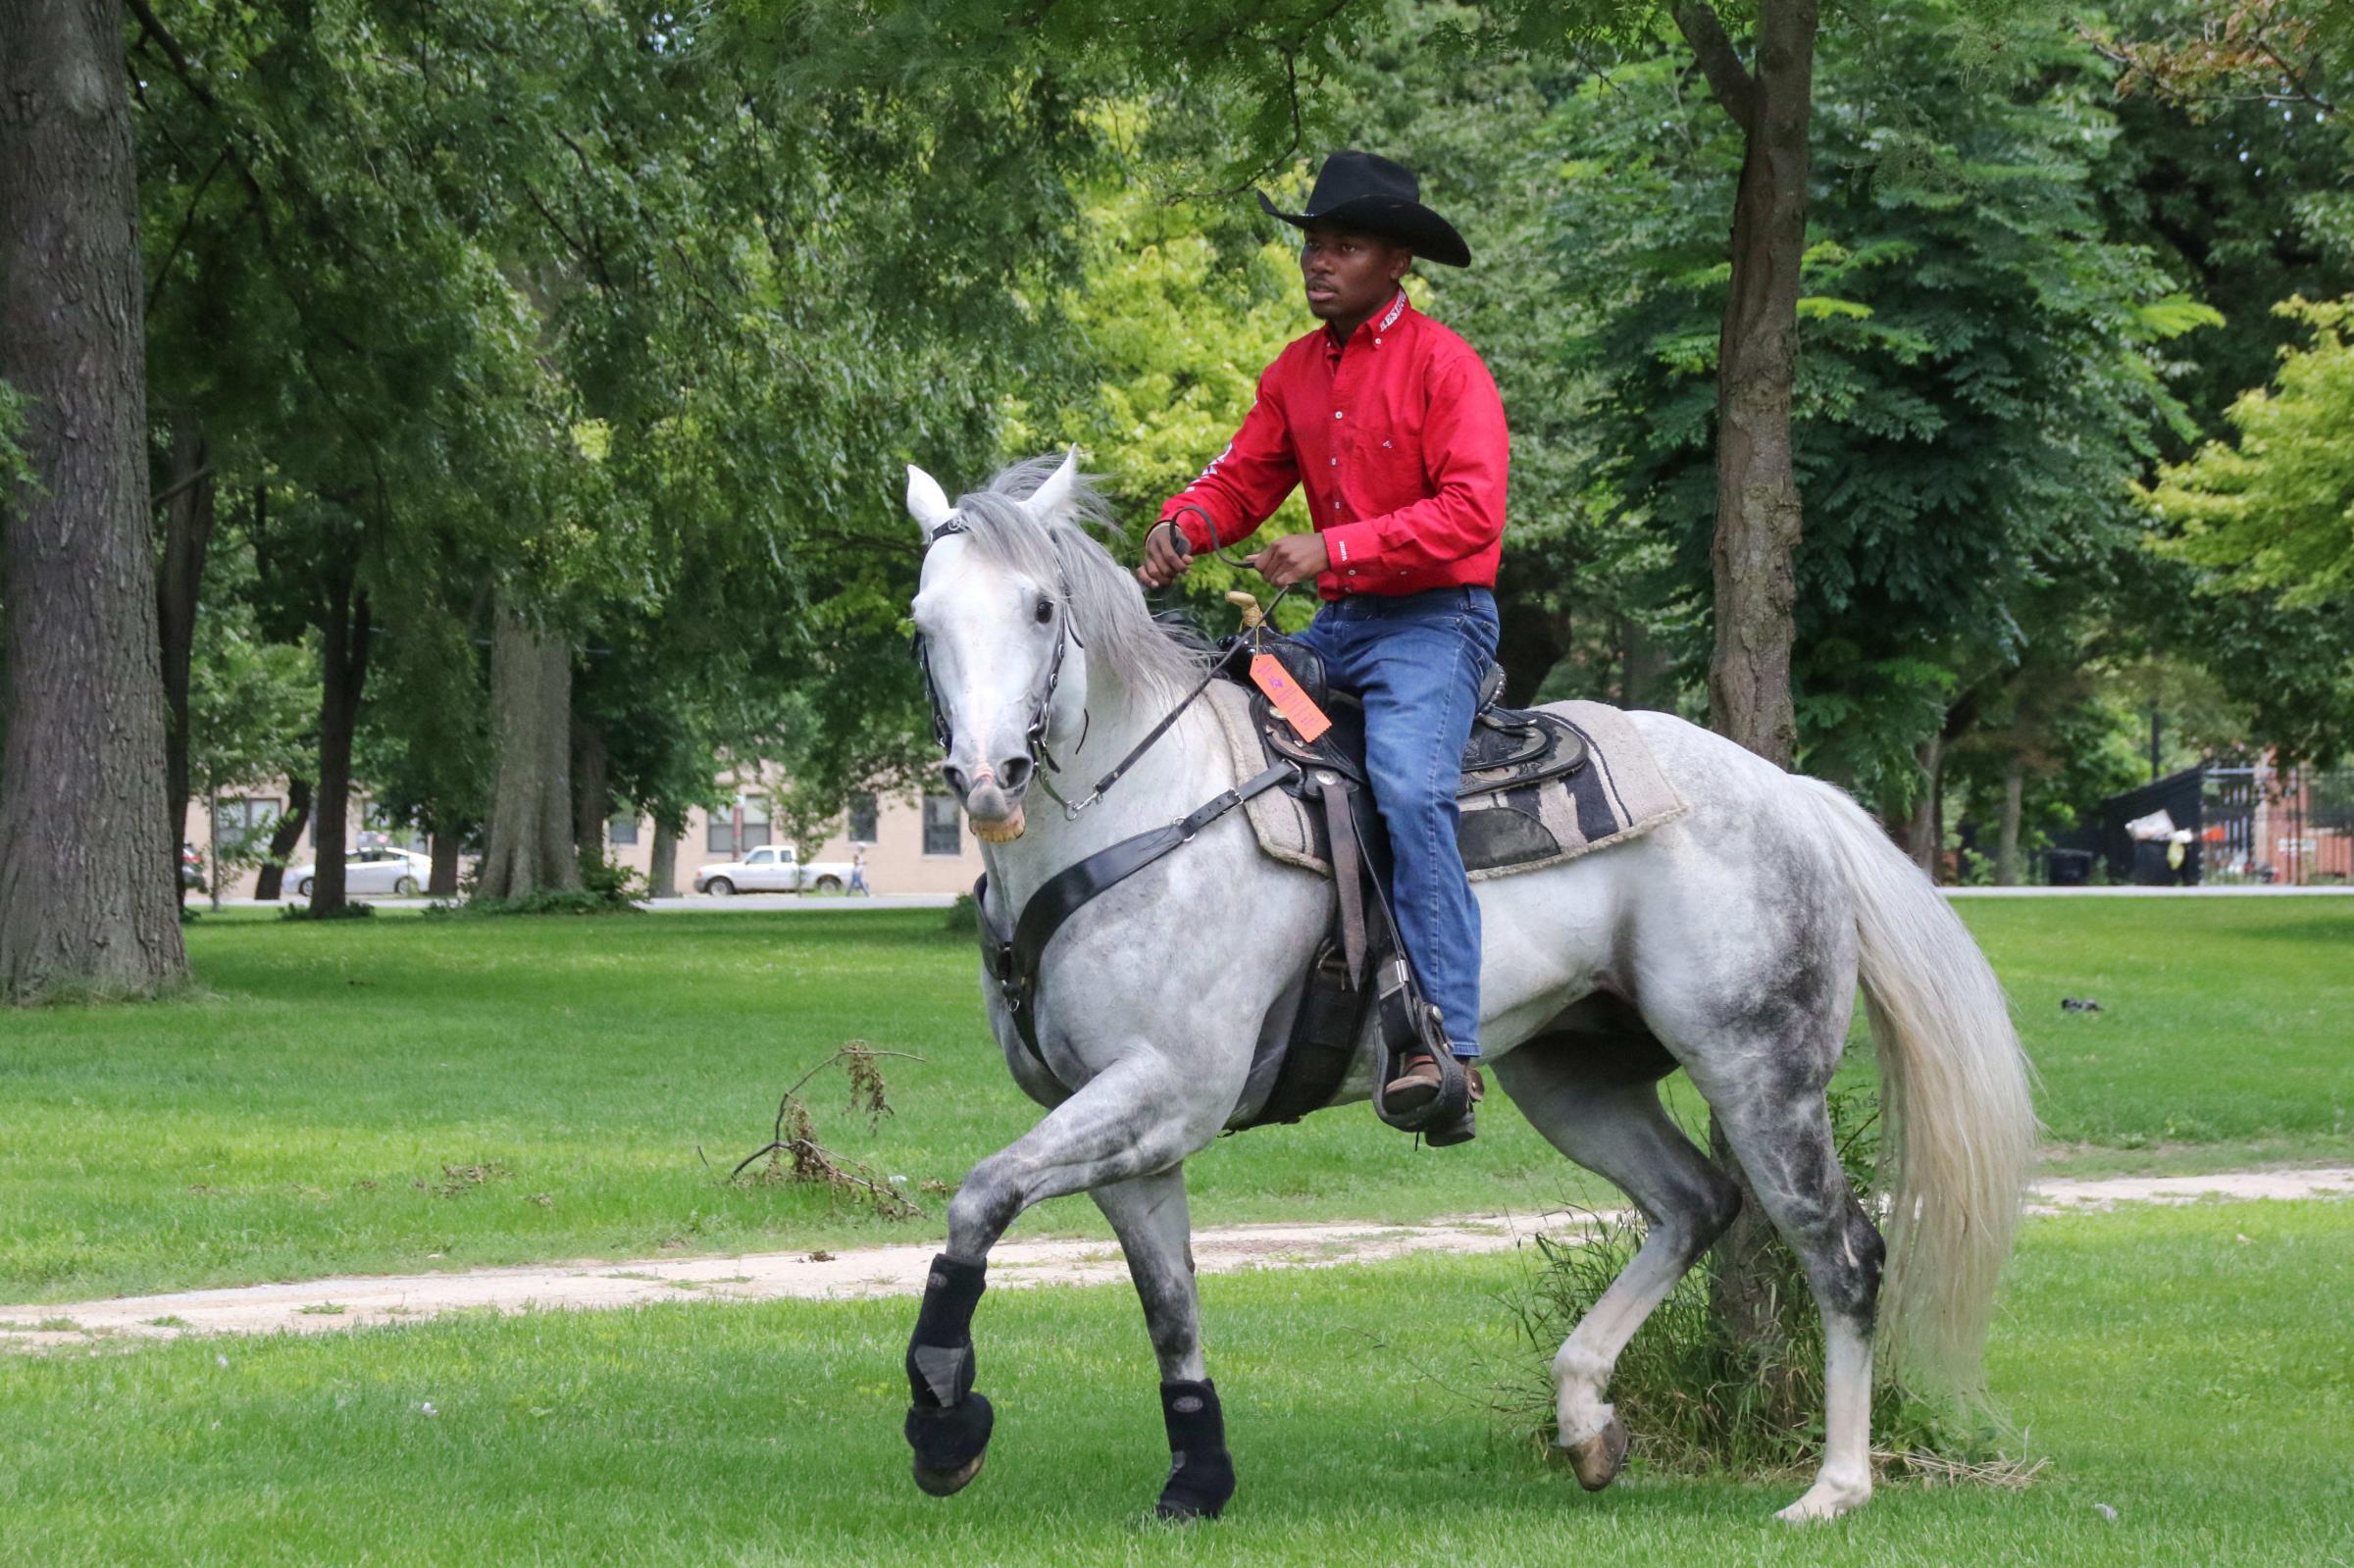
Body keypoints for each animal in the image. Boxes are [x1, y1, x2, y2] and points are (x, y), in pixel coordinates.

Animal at [890, 449, 2033, 1516]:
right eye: (922, 621)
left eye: (1042, 608)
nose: (987, 781)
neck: (1150, 807)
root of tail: (1789, 792)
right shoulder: (1130, 1126)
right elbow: (1169, 1306)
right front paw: (1197, 1476)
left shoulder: (1169, 1090)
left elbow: (979, 1196)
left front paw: (943, 1412)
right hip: (1574, 1077)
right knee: (1694, 1202)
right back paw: (1584, 1418)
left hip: (1761, 1068)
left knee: (1843, 1252)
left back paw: (1834, 1486)